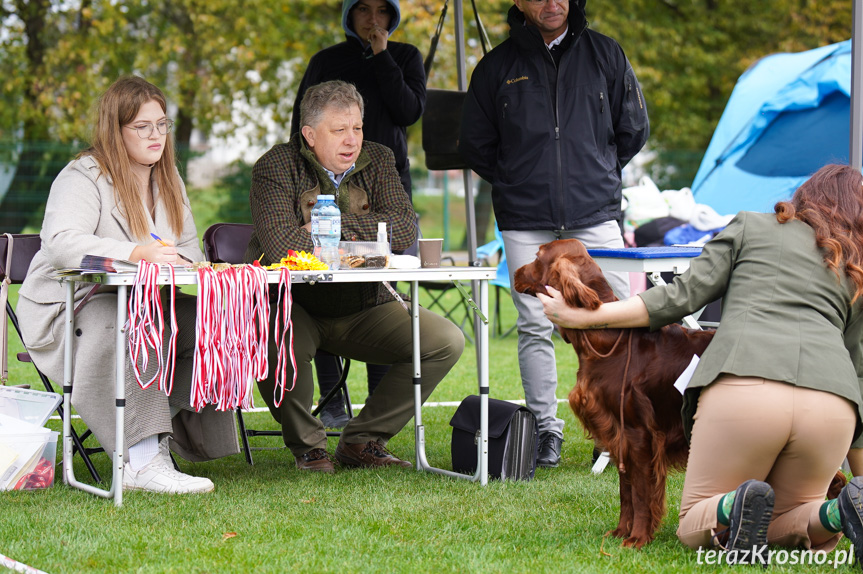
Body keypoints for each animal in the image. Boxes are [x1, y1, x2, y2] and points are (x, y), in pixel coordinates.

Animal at [512, 238, 716, 548]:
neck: (606, 340)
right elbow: (626, 490)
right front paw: (621, 531)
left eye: (537, 256)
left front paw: (637, 538)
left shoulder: (639, 434)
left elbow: (641, 492)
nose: (514, 272)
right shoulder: (619, 434)